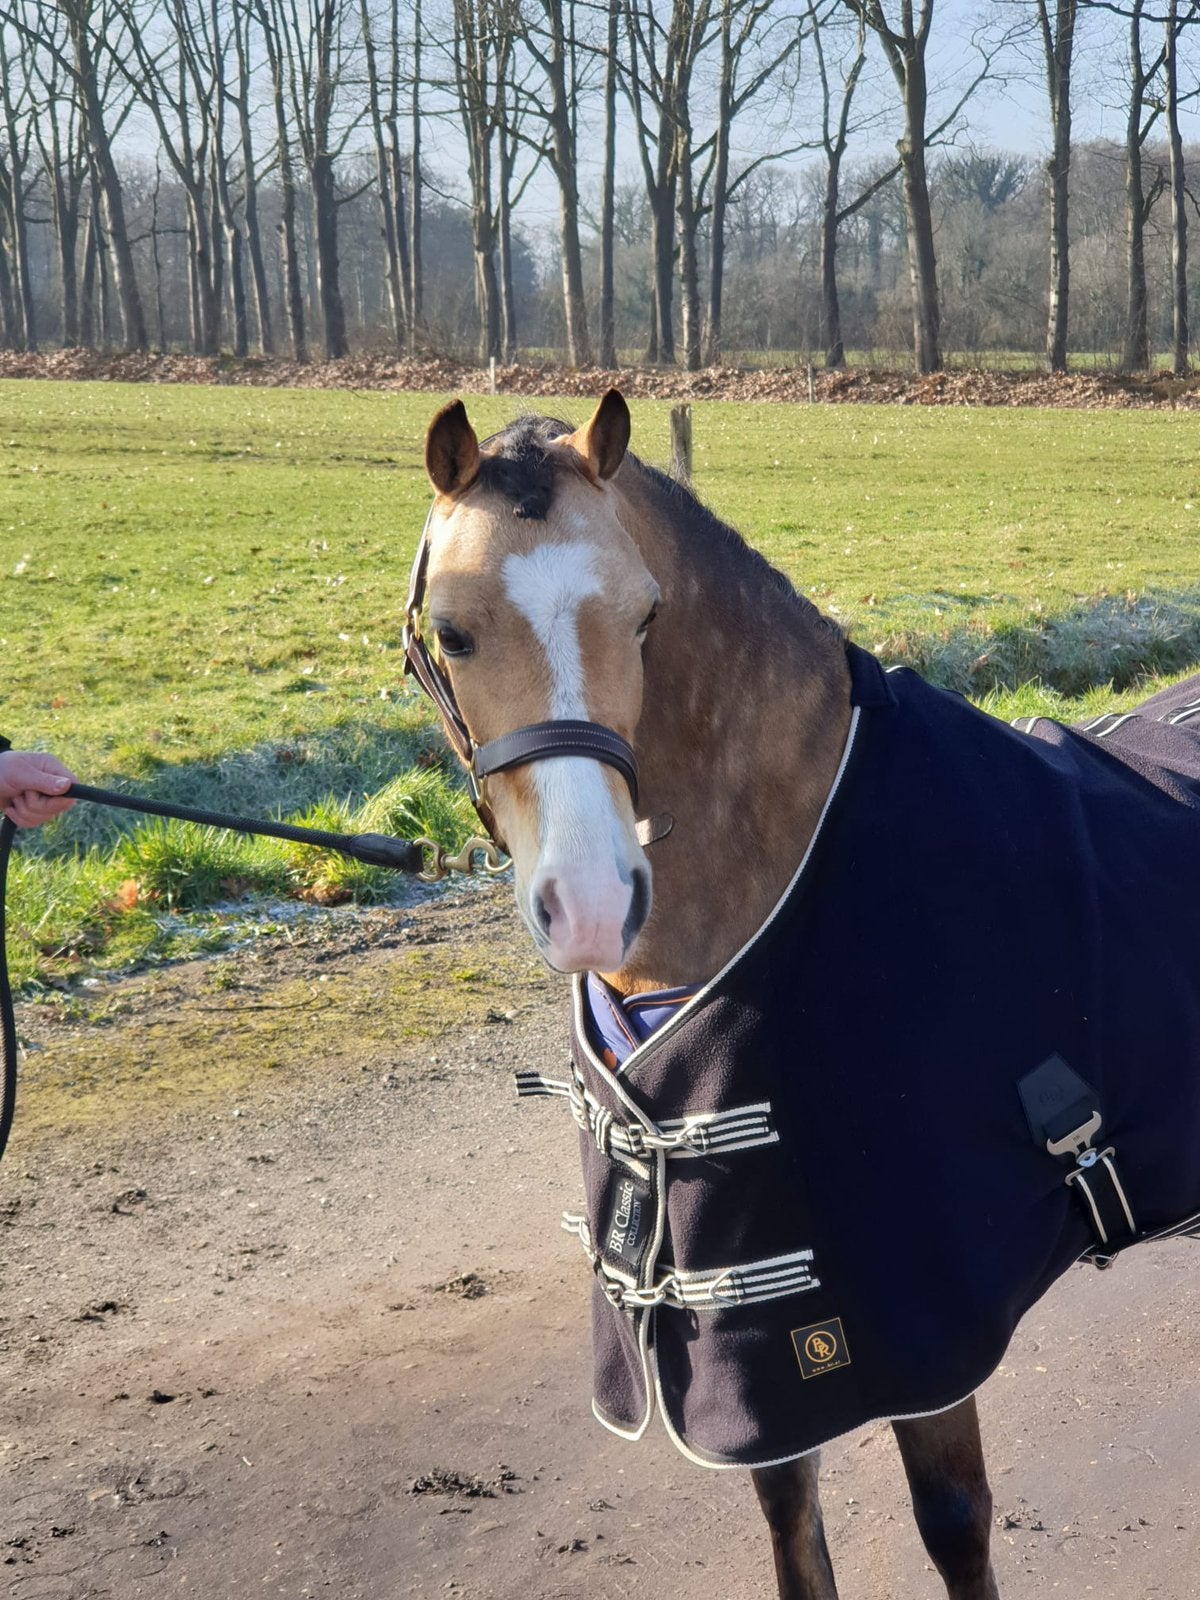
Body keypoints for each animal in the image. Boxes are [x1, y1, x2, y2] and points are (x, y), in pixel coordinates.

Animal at [406, 388, 1200, 1600]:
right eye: (453, 630)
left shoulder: (912, 1317)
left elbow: (954, 1524)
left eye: (643, 615)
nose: (593, 901)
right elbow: (792, 1525)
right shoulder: (753, 1349)